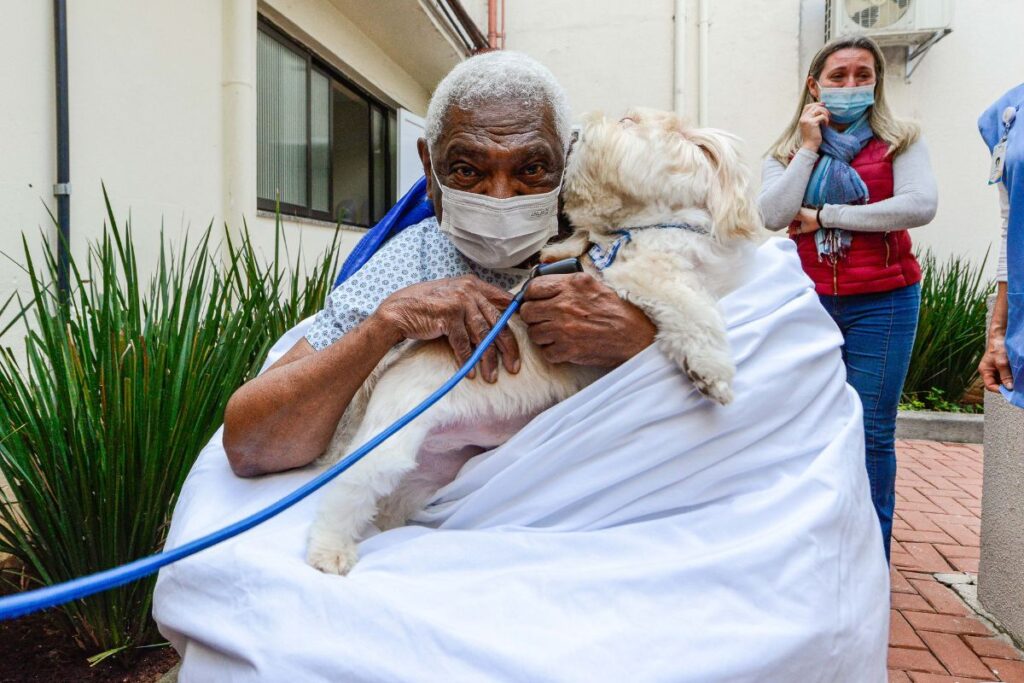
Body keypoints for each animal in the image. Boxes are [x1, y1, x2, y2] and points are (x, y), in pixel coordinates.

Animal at [307, 108, 765, 577]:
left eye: (627, 120)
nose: (583, 126)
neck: (650, 225)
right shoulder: (640, 274)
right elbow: (691, 307)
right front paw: (711, 371)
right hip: (389, 441)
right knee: (344, 491)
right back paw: (329, 552)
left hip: (426, 470)